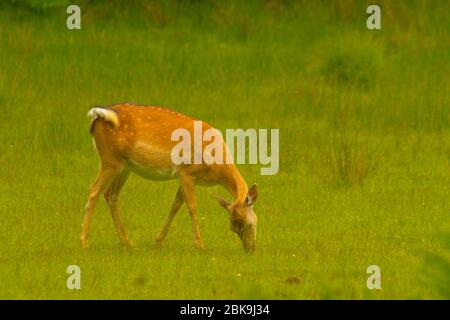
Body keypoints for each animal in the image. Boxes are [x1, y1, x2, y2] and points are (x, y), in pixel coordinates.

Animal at [81, 102, 256, 252]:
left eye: (248, 223)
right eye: (235, 226)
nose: (249, 249)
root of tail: (97, 116)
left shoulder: (185, 176)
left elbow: (176, 205)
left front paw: (158, 242)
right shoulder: (186, 171)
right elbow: (192, 207)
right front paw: (200, 245)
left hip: (125, 166)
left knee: (110, 194)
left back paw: (127, 242)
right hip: (110, 160)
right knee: (94, 189)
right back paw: (85, 242)